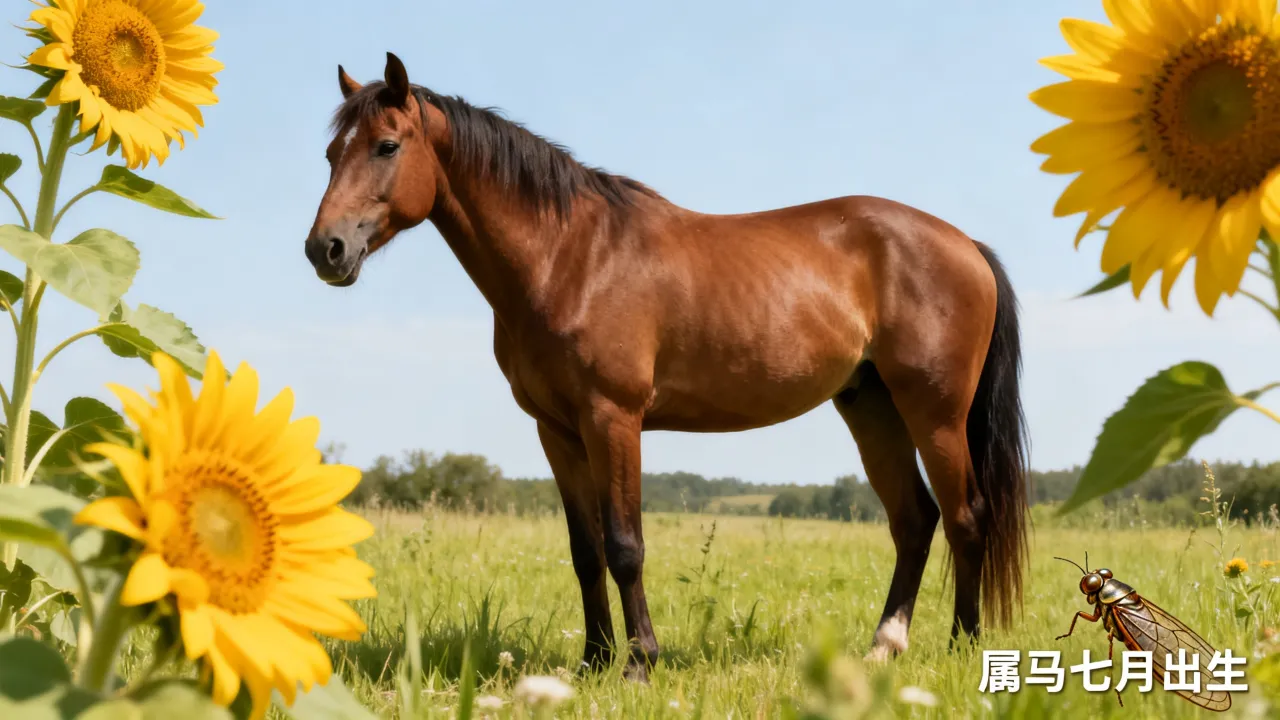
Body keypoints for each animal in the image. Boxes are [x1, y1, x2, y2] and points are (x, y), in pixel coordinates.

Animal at [305, 52, 1029, 681]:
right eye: (332, 153)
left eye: (387, 146)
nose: (325, 249)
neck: (570, 257)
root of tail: (965, 244)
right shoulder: (558, 432)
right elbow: (586, 551)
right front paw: (593, 662)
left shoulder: (613, 419)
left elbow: (626, 545)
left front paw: (637, 663)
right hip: (871, 406)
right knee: (915, 520)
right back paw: (885, 647)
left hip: (935, 413)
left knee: (966, 518)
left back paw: (963, 646)